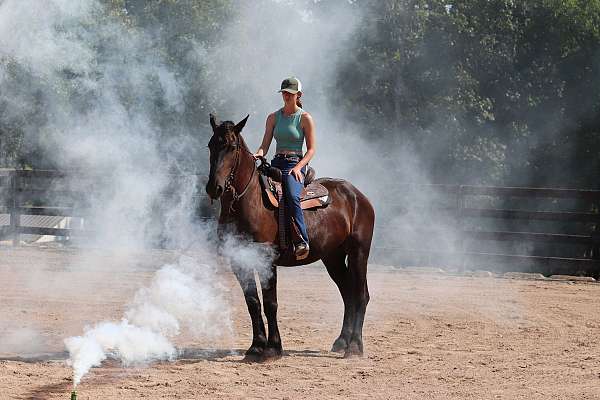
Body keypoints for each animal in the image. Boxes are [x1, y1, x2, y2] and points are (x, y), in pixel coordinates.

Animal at [206, 114, 376, 360]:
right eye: (211, 145)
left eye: (231, 146)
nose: (214, 188)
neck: (249, 202)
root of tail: (358, 195)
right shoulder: (239, 260)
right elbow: (252, 302)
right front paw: (256, 347)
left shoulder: (266, 259)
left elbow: (270, 303)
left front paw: (273, 348)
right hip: (333, 258)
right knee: (348, 294)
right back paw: (342, 341)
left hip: (359, 253)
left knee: (361, 294)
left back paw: (354, 347)